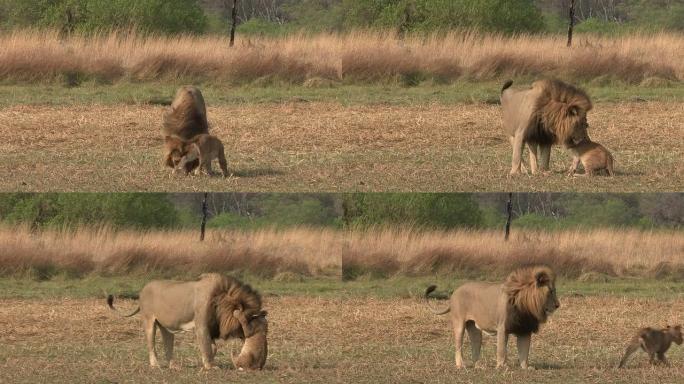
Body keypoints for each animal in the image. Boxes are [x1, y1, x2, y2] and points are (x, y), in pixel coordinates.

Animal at [108, 272, 266, 368]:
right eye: (250, 321)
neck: (222, 301)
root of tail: (143, 289)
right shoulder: (201, 325)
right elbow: (206, 345)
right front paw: (211, 366)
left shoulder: (211, 326)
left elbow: (212, 346)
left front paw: (208, 362)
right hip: (148, 321)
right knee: (151, 345)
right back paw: (155, 365)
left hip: (166, 327)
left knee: (168, 345)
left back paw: (173, 365)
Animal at [428, 268, 560, 368]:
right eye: (551, 291)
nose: (558, 305)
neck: (526, 306)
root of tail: (454, 292)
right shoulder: (502, 327)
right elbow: (501, 349)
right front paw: (502, 367)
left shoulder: (524, 329)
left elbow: (524, 351)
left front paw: (526, 367)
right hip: (459, 323)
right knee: (458, 346)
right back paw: (460, 365)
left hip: (474, 328)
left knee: (475, 344)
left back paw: (478, 366)